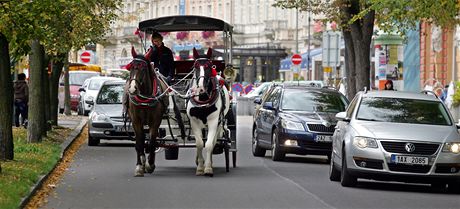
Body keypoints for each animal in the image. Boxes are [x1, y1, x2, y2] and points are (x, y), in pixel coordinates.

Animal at [126, 47, 169, 176]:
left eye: (143, 68)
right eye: (131, 66)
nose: (132, 89)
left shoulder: (155, 122)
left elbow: (152, 142)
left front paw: (150, 164)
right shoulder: (136, 121)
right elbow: (139, 143)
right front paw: (140, 166)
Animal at [187, 47, 230, 176]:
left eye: (209, 66)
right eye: (195, 66)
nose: (200, 88)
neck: (203, 99)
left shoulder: (213, 121)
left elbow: (209, 144)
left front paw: (208, 168)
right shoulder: (194, 122)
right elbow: (199, 144)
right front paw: (200, 167)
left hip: (219, 123)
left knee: (213, 141)